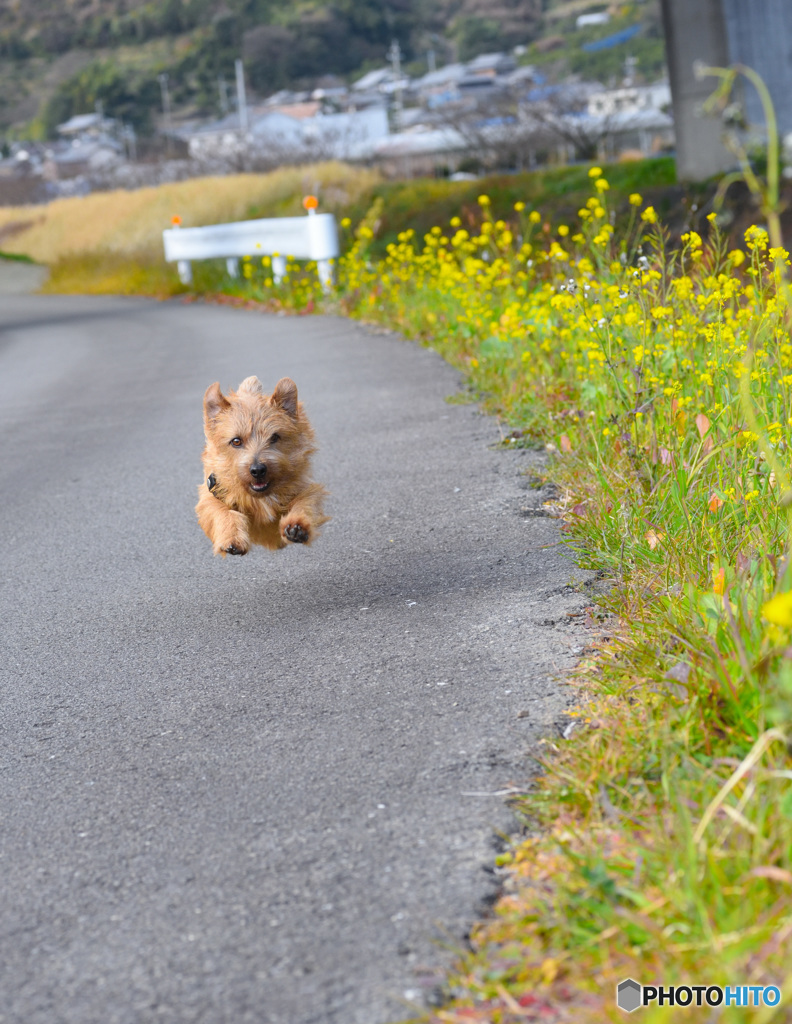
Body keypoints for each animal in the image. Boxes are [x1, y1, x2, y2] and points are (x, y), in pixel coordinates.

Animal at [195, 374, 329, 557]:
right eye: (236, 441)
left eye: (274, 437)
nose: (258, 470)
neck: (260, 497)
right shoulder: (211, 492)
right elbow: (220, 511)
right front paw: (232, 538)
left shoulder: (307, 488)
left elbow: (304, 503)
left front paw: (297, 526)